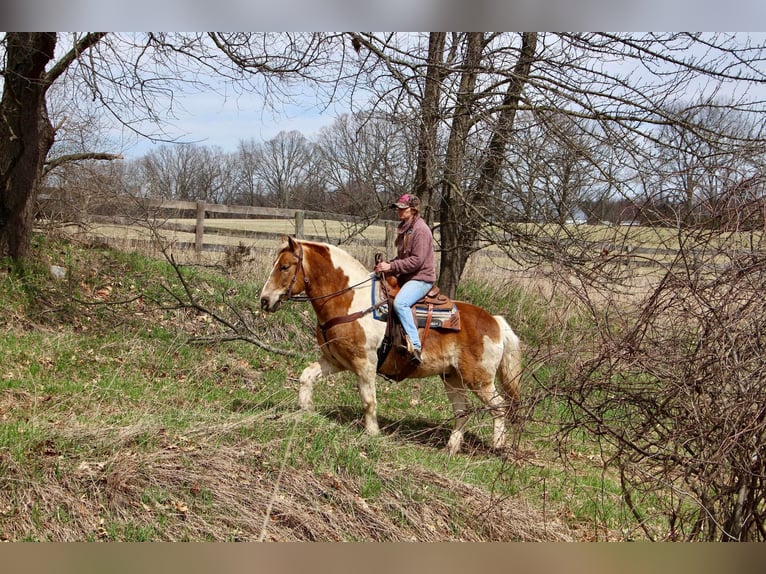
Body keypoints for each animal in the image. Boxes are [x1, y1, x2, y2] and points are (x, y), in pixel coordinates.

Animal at [258, 236, 520, 456]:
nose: (264, 300)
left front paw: (372, 435)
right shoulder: (335, 361)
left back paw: (498, 446)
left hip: (479, 380)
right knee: (462, 411)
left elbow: (368, 401)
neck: (350, 301)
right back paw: (451, 448)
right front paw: (305, 411)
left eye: (284, 267)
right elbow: (306, 376)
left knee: (499, 406)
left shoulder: (365, 364)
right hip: (452, 377)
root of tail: (495, 322)